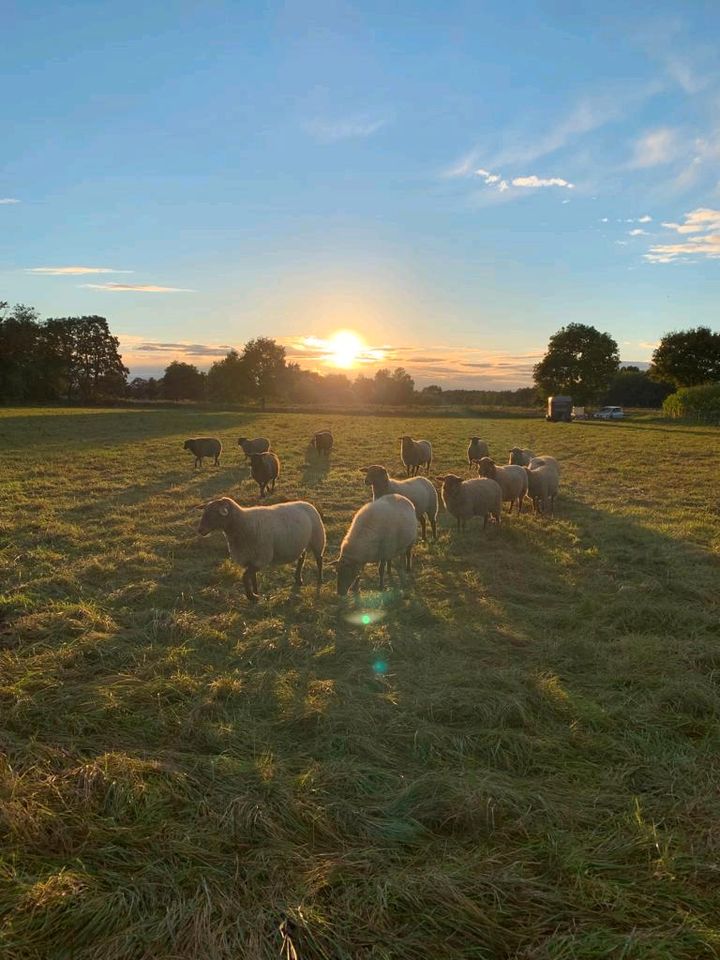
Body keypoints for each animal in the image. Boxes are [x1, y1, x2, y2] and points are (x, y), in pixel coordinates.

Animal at [194, 496, 324, 600]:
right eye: (205, 512)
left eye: (214, 513)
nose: (200, 530)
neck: (243, 523)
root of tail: (306, 503)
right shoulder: (250, 558)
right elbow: (252, 577)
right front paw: (256, 592)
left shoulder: (261, 558)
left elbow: (245, 576)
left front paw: (251, 596)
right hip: (301, 543)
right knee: (302, 558)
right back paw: (298, 579)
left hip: (318, 538)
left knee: (319, 559)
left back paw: (319, 580)